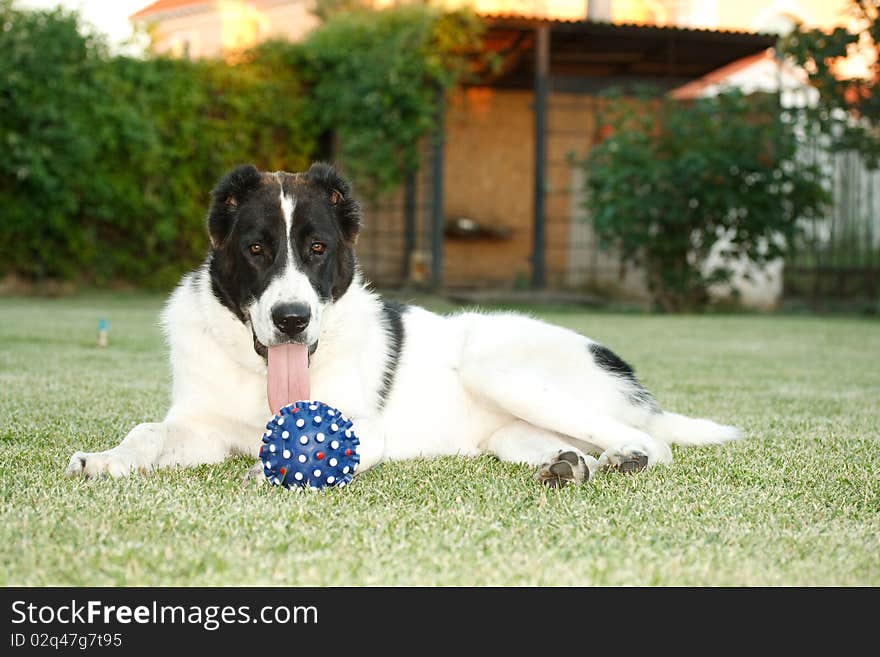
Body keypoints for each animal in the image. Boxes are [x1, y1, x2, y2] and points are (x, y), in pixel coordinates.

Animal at [69, 161, 740, 484]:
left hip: (497, 367)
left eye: (317, 249)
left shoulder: (363, 429)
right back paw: (571, 465)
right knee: (575, 446)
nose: (291, 320)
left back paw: (626, 457)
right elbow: (146, 432)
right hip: (513, 434)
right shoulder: (201, 428)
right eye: (256, 249)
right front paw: (107, 460)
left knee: (651, 443)